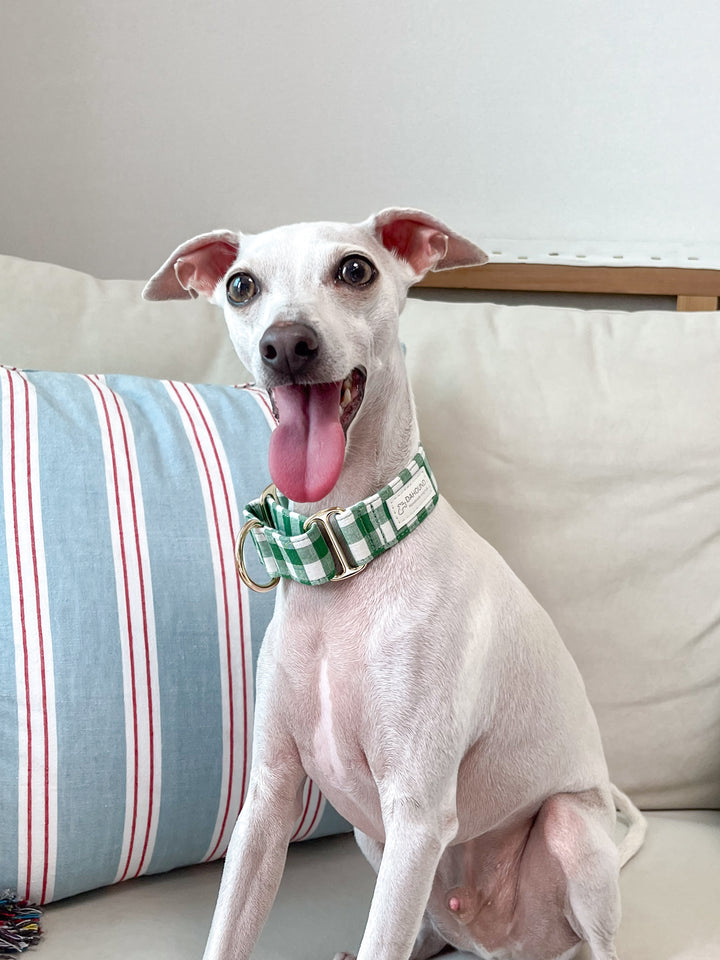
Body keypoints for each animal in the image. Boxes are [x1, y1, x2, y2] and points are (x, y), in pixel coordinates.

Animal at [143, 210, 644, 960]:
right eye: (240, 285)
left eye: (356, 269)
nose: (286, 345)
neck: (346, 560)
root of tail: (494, 940)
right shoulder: (268, 804)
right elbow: (229, 928)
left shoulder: (416, 815)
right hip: (371, 839)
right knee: (420, 931)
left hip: (569, 829)